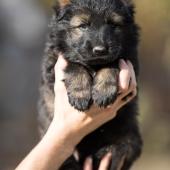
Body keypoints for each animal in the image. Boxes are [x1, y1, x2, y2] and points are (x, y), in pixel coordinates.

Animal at [38, 0, 142, 169]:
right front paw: (80, 95)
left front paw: (103, 91)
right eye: (83, 26)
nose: (100, 50)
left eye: (113, 24)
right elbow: (75, 65)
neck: (94, 65)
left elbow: (112, 63)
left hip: (128, 140)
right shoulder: (53, 64)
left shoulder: (129, 60)